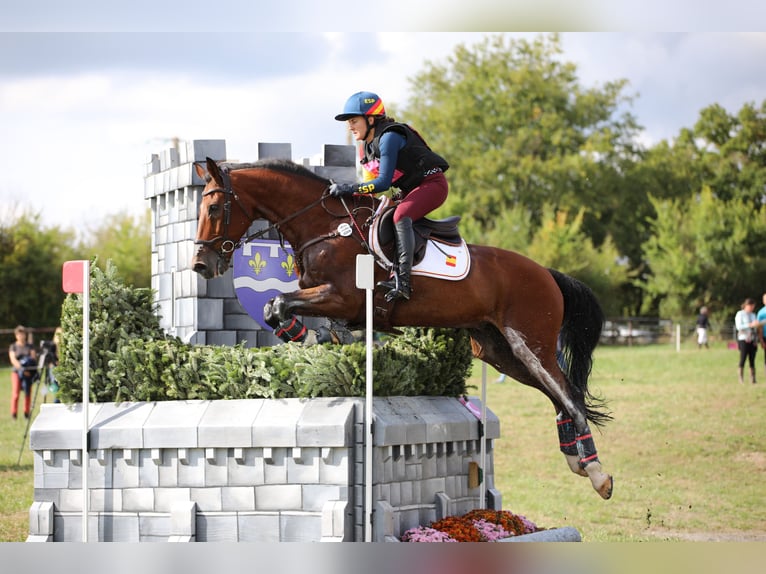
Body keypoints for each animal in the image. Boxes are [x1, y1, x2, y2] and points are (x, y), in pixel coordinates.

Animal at [191, 157, 613, 500]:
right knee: (559, 396)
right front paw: (319, 339)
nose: (200, 265)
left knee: (570, 395)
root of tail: (547, 273)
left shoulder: (343, 298)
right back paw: (576, 460)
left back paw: (597, 473)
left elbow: (278, 303)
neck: (325, 226)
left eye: (213, 207)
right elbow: (273, 306)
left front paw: (315, 338)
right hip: (500, 351)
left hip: (530, 344)